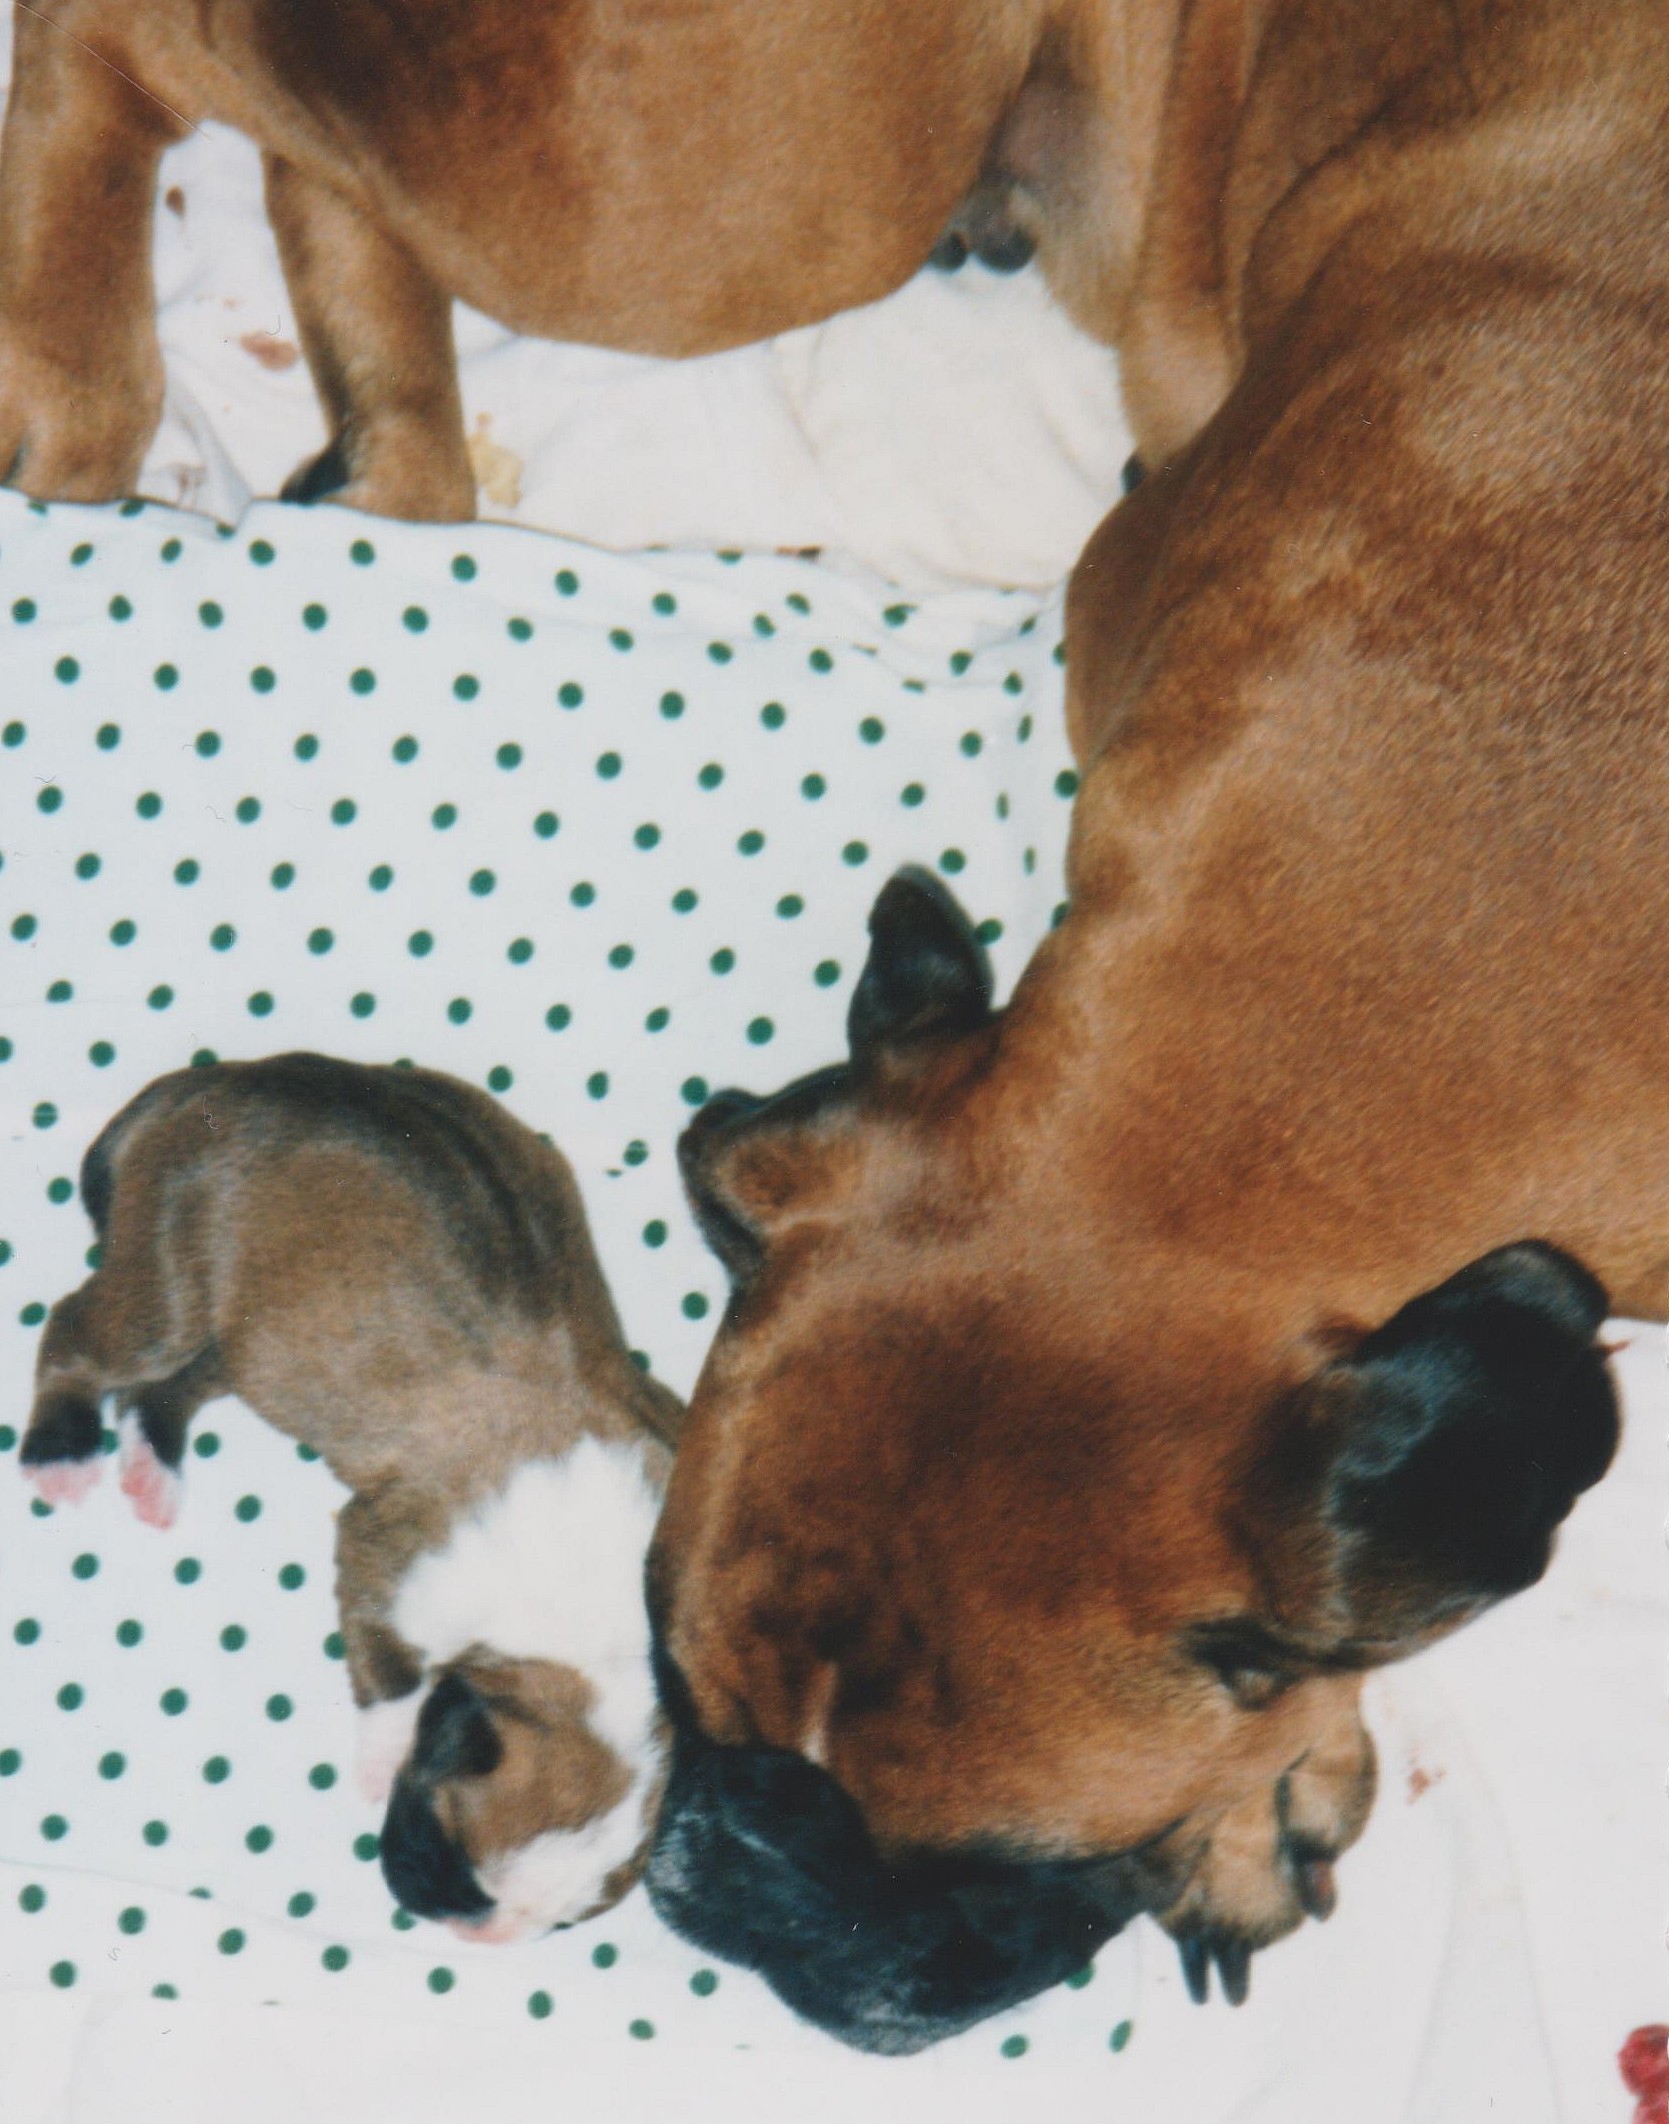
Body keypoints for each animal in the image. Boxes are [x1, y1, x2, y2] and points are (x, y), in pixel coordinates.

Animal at [19, 1052, 684, 1942]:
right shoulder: (383, 1562)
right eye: (449, 1854)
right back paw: (57, 1450)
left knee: (175, 1385)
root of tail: (217, 1080)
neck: (593, 1628)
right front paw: (379, 1754)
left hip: (250, 1334)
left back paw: (153, 1465)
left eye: (559, 1927)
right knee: (76, 1336)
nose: (475, 1933)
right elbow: (391, 1683)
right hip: (165, 1289)